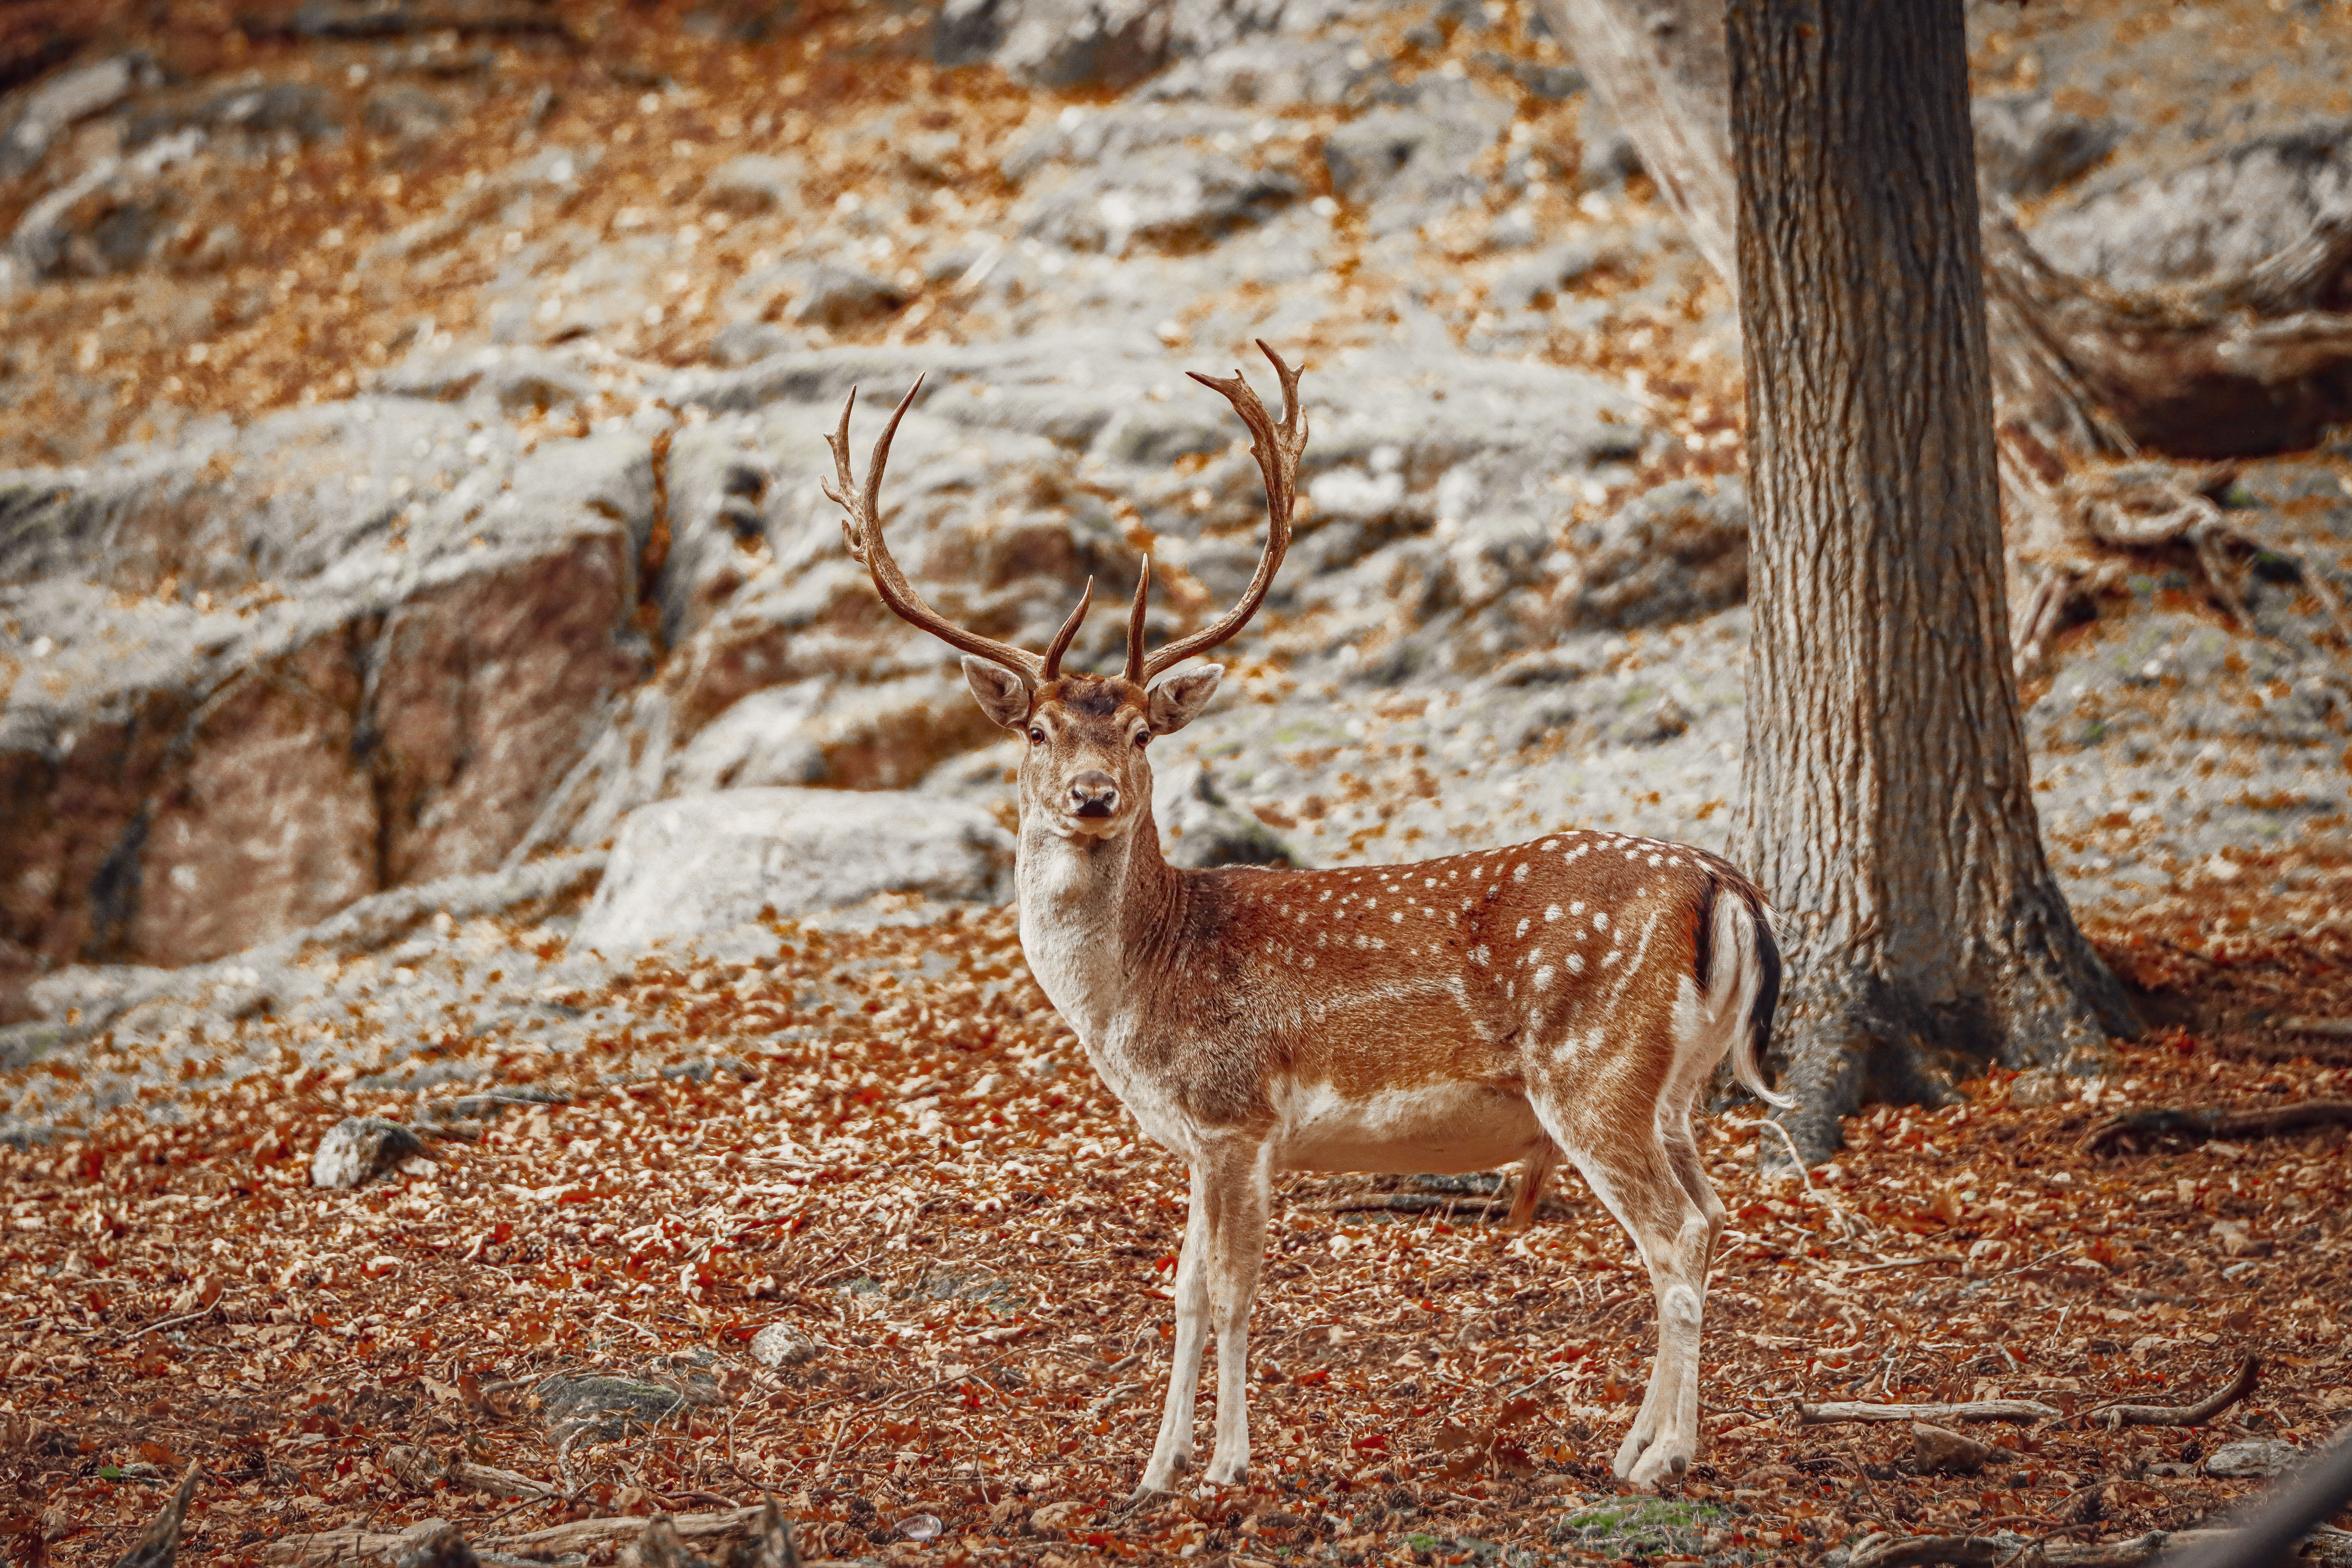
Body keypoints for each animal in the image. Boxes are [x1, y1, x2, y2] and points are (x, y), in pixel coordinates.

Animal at [823, 341, 1791, 1496]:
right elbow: (1182, 1290)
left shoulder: (1235, 1112)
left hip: (1592, 1067)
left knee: (1675, 1234)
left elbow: (1235, 1290)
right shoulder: (1197, 1137)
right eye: (1041, 732)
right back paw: (1633, 1442)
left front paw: (1226, 1467)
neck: (1138, 994)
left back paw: (1661, 1458)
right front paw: (1155, 1469)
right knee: (1715, 1214)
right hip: (1674, 1084)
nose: (1094, 796)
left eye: (1141, 733)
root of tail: (1724, 884)